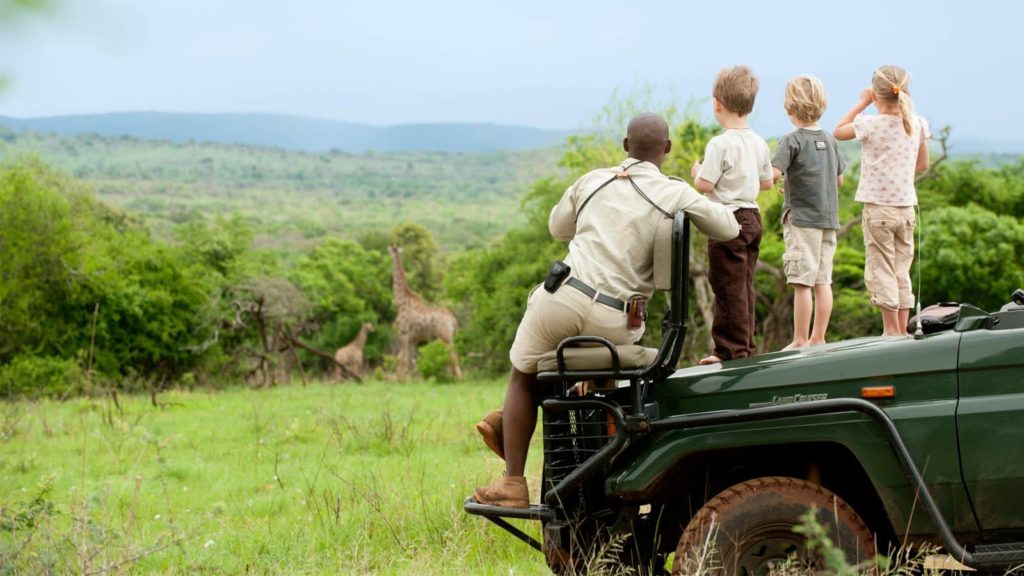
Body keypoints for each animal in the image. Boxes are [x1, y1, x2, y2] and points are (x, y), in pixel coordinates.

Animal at [385, 243, 462, 379]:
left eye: (391, 250)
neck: (400, 301)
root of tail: (453, 320)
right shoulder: (413, 339)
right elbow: (405, 360)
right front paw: (406, 379)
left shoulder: (403, 333)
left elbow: (403, 360)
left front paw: (401, 380)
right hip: (448, 337)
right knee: (450, 357)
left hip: (445, 336)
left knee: (453, 356)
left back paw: (459, 379)